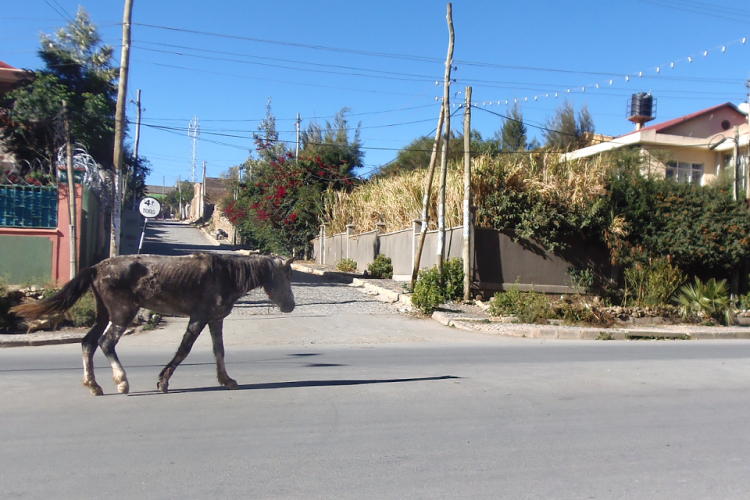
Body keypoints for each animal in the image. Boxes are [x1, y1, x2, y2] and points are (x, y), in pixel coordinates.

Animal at [12, 252, 294, 396]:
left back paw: (94, 385)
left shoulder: (215, 320)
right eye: (287, 276)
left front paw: (227, 380)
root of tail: (96, 268)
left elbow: (219, 352)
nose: (290, 305)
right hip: (122, 314)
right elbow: (184, 350)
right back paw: (122, 382)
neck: (225, 274)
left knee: (88, 343)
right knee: (106, 343)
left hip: (104, 315)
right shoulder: (199, 318)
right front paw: (163, 382)